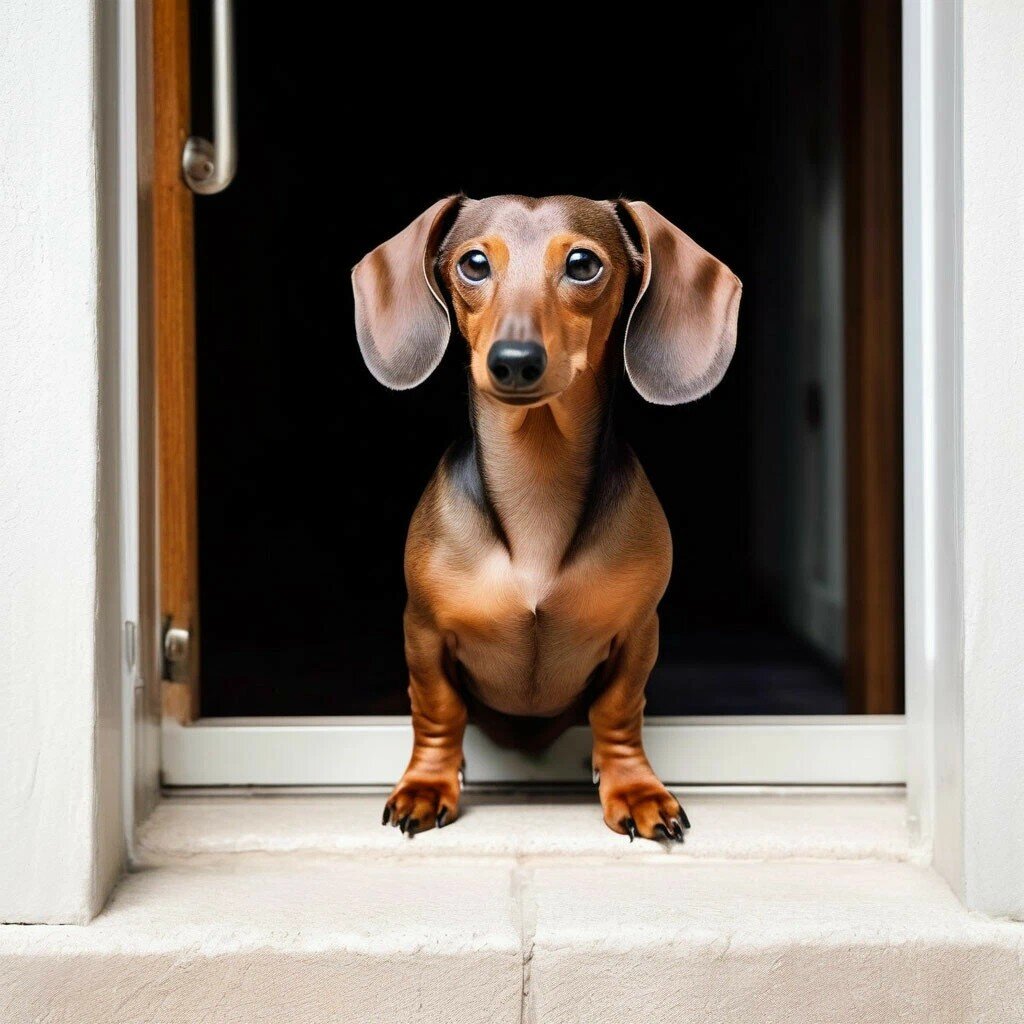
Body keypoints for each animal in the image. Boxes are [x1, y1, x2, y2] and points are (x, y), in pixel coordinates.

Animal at [356, 195, 741, 843]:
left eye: (583, 264)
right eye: (474, 263)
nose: (514, 361)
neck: (537, 479)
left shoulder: (638, 633)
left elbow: (619, 710)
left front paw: (635, 790)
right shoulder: (423, 631)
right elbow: (436, 709)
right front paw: (425, 785)